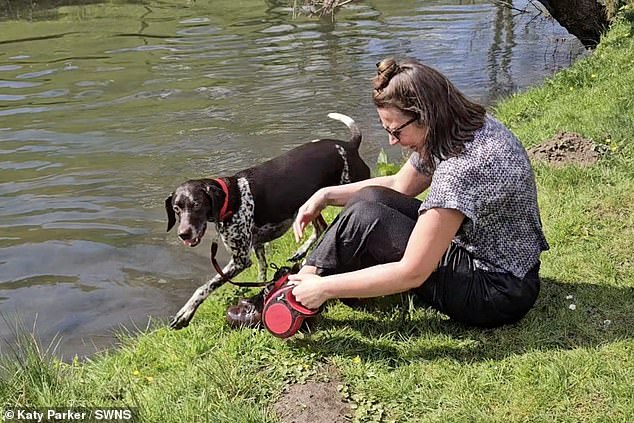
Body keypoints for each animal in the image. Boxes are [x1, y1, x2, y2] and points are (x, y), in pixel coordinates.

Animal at [164, 113, 370, 332]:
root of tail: (349, 146)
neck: (233, 196)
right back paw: (301, 251)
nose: (183, 234)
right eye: (176, 209)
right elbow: (262, 271)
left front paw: (185, 313)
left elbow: (204, 287)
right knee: (320, 227)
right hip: (310, 204)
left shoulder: (240, 260)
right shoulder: (257, 245)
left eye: (196, 204)